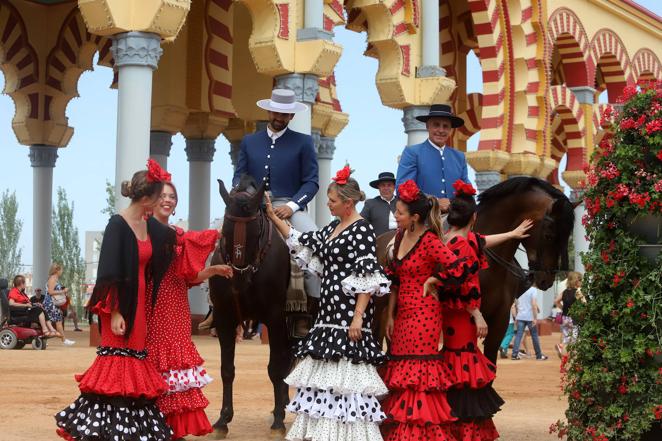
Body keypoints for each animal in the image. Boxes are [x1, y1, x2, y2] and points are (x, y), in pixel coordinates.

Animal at [208, 177, 290, 438]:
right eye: (225, 230)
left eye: (256, 231)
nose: (238, 280)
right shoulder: (224, 318)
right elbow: (227, 369)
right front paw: (223, 420)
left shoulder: (275, 318)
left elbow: (275, 368)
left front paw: (278, 422)